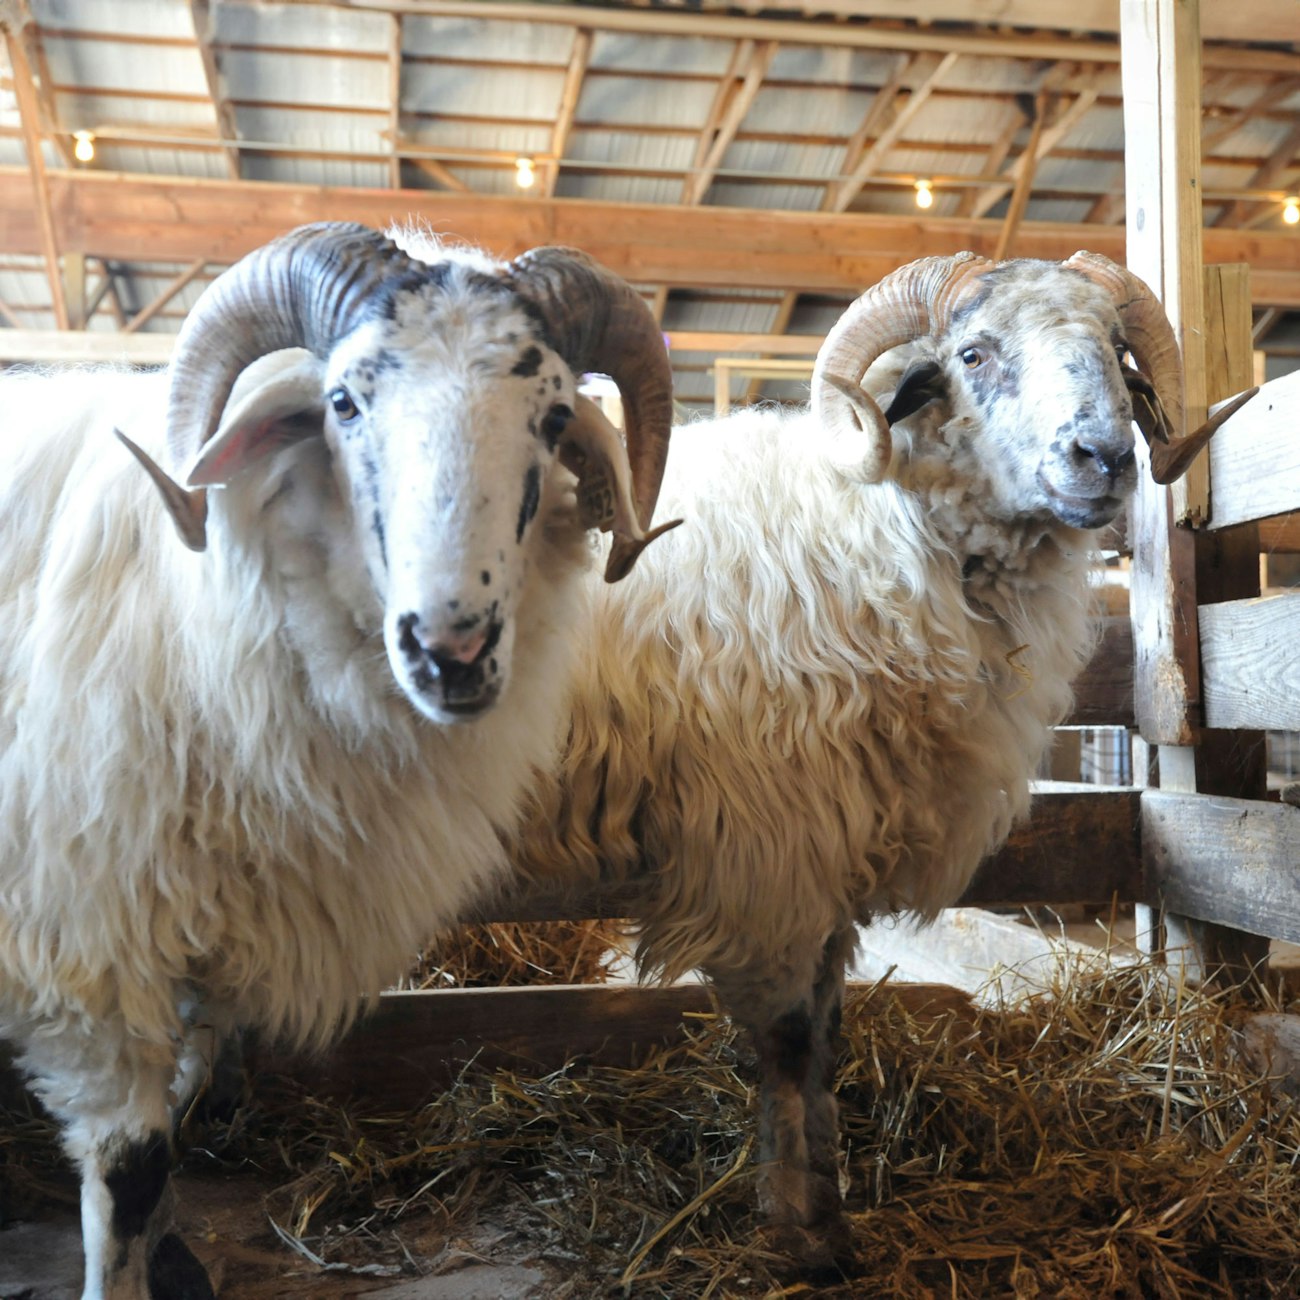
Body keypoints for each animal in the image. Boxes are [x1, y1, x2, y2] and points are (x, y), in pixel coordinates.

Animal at [0, 220, 677, 1300]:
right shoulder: (86, 942)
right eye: (344, 403)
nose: (452, 649)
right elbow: (132, 1165)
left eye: (554, 413)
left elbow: (179, 1118)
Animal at [510, 250, 1238, 1271]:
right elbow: (784, 1039)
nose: (1104, 458)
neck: (876, 532)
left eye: (1115, 347)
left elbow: (826, 1030)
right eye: (973, 354)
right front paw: (801, 1232)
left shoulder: (834, 843)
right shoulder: (770, 850)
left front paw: (829, 1194)